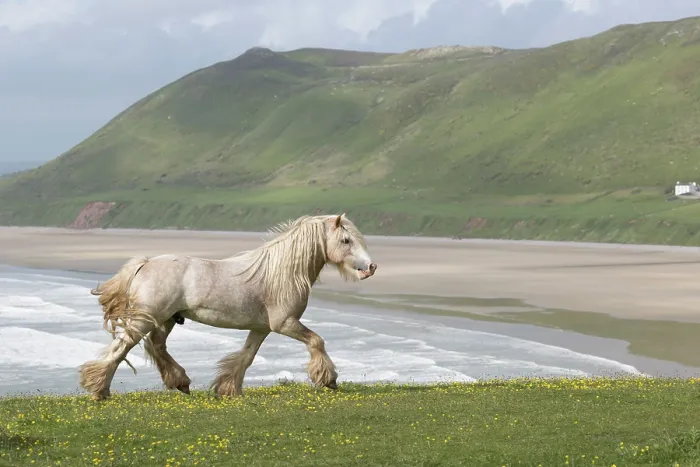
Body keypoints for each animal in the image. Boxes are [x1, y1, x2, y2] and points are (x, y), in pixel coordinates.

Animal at [78, 214, 378, 401]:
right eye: (346, 240)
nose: (371, 267)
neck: (281, 272)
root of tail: (145, 263)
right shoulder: (285, 323)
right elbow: (316, 341)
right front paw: (328, 379)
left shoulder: (262, 328)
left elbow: (246, 357)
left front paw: (227, 388)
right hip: (146, 319)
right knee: (121, 348)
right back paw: (99, 389)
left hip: (166, 319)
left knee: (156, 346)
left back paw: (181, 382)